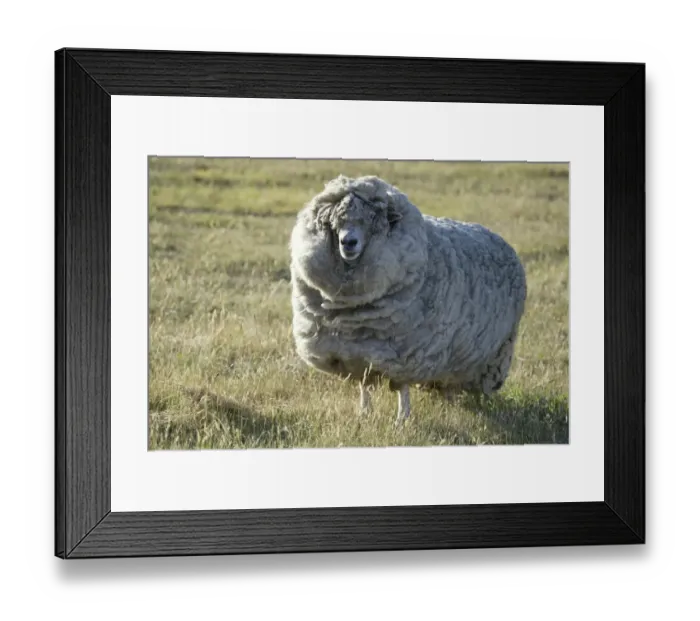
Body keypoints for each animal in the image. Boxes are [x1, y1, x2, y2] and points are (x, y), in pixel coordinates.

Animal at [289, 174, 527, 423]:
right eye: (334, 224)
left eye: (372, 222)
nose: (348, 242)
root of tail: (498, 238)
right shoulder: (356, 353)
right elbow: (364, 385)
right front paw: (365, 413)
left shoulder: (405, 356)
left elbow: (402, 388)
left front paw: (402, 419)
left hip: (495, 354)